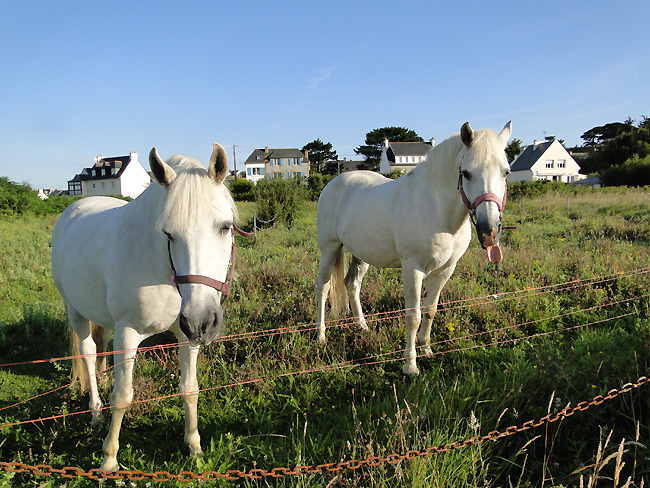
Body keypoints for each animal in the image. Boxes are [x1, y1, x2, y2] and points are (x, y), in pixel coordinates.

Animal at [50, 143, 243, 470]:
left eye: (225, 227)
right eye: (169, 234)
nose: (203, 321)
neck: (161, 270)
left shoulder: (186, 336)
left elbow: (190, 389)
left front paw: (194, 447)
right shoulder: (127, 333)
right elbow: (122, 396)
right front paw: (109, 459)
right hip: (74, 310)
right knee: (88, 354)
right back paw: (95, 412)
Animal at [316, 120, 512, 376]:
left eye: (506, 172)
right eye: (466, 173)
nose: (489, 231)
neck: (436, 209)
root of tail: (333, 184)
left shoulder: (445, 270)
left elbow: (430, 310)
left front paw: (426, 348)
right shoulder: (413, 269)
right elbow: (413, 316)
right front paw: (410, 365)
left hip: (362, 253)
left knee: (352, 284)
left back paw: (362, 326)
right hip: (328, 248)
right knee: (323, 287)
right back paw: (320, 335)